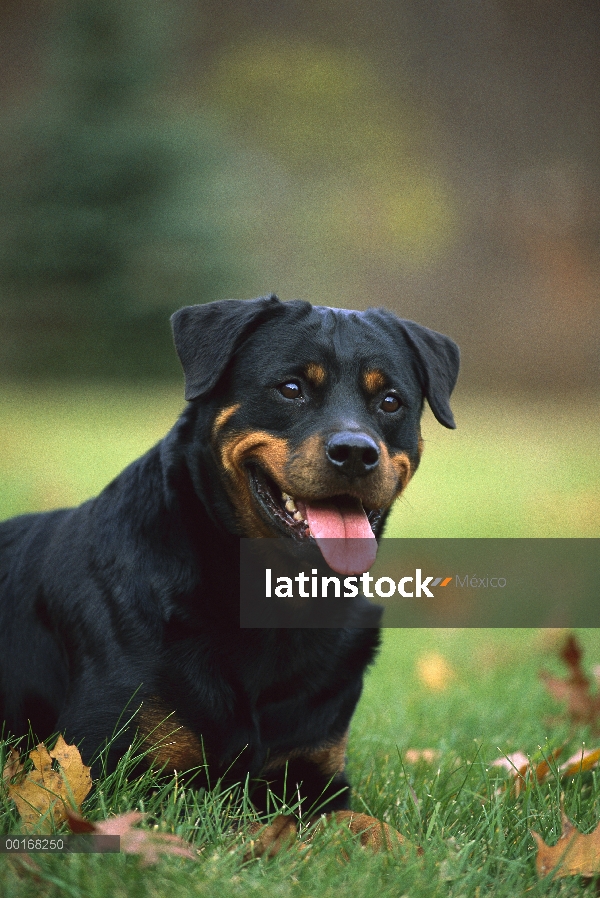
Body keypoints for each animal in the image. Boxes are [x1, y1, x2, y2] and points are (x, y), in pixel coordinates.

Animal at [0, 298, 458, 852]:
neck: (274, 603)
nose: (355, 451)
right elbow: (249, 824)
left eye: (390, 401)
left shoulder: (316, 775)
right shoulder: (97, 774)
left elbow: (366, 823)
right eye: (290, 389)